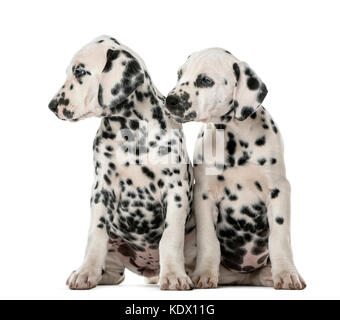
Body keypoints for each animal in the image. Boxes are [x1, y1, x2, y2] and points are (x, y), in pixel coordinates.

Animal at [48, 36, 195, 292]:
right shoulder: (102, 189)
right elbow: (95, 236)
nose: (52, 105)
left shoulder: (176, 190)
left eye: (80, 72)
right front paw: (85, 272)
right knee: (114, 272)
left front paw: (175, 275)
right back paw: (96, 274)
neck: (131, 131)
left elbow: (170, 238)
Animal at [166, 47, 306, 290]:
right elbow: (209, 240)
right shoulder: (204, 196)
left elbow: (279, 238)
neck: (233, 138)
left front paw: (287, 273)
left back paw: (270, 274)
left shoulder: (278, 190)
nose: (170, 100)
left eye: (205, 80)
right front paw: (204, 274)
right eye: (179, 75)